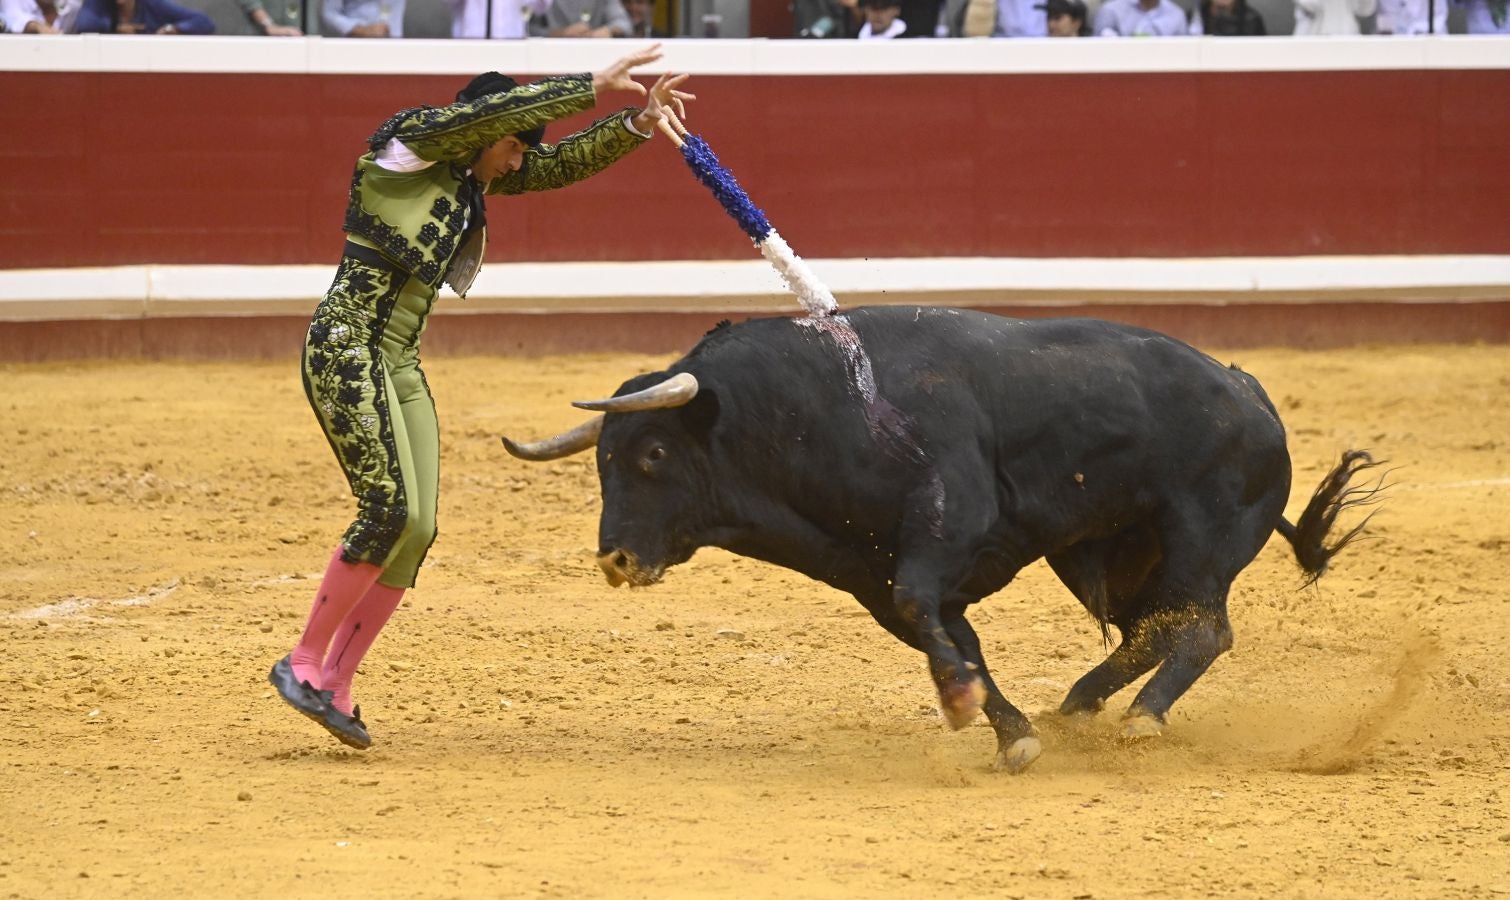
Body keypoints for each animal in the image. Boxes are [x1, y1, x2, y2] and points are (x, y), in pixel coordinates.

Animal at [507, 309, 1383, 773]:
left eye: (653, 453)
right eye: (602, 459)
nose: (616, 559)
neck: (817, 409)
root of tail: (1250, 391)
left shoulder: (940, 529)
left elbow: (928, 616)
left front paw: (972, 712)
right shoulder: (878, 575)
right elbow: (954, 640)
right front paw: (1015, 734)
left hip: (1200, 533)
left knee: (1201, 628)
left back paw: (1140, 718)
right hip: (1111, 553)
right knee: (1153, 631)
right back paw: (1078, 706)